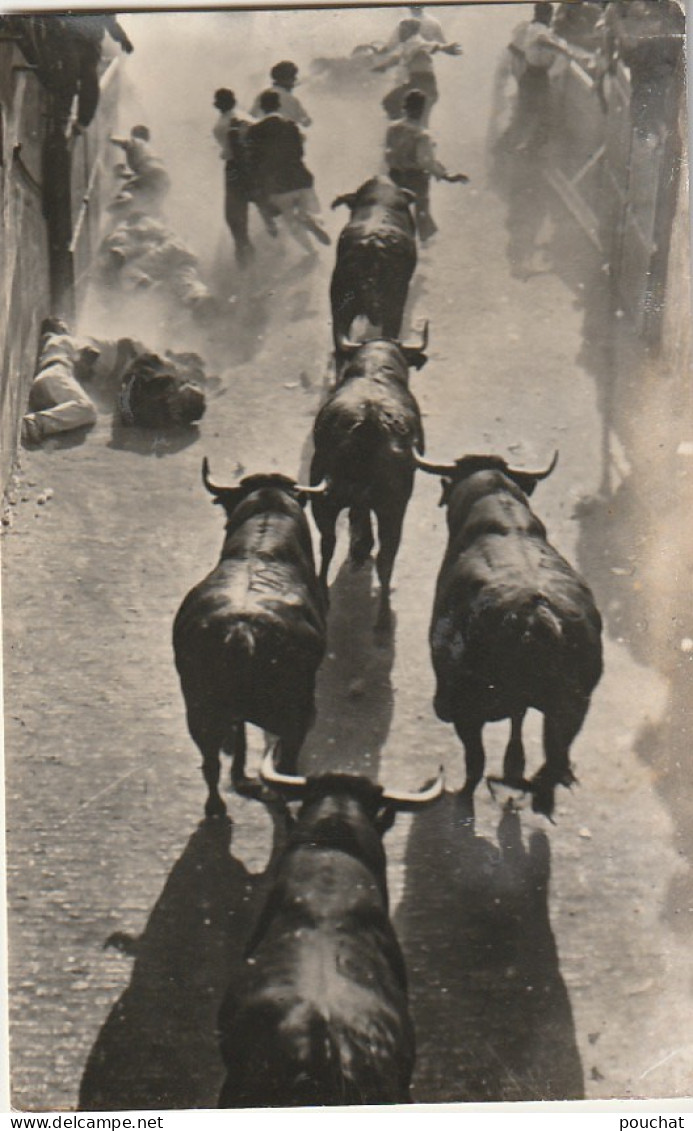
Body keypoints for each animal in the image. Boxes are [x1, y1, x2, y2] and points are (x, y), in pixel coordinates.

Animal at [171, 463, 325, 818]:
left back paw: (216, 805)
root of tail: (242, 632)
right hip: (294, 717)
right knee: (285, 769)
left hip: (199, 712)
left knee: (210, 763)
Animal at [413, 452, 601, 823]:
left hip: (467, 708)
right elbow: (518, 720)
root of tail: (539, 614)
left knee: (476, 760)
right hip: (574, 707)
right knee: (554, 757)